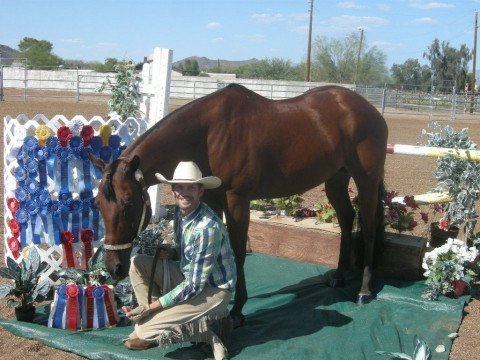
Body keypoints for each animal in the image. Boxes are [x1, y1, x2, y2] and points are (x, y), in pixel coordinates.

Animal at [90, 83, 388, 328]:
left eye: (129, 203)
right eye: (97, 203)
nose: (114, 268)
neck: (209, 134)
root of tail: (368, 109)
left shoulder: (237, 200)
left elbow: (238, 251)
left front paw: (237, 310)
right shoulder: (212, 198)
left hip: (366, 179)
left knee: (369, 226)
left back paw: (363, 290)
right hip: (336, 178)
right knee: (347, 219)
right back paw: (338, 276)